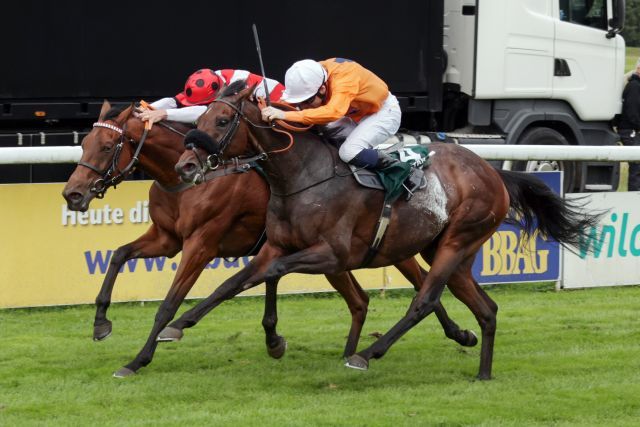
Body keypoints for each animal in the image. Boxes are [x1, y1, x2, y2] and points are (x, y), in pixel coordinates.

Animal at [62, 100, 478, 378]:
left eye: (106, 147)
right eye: (83, 144)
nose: (73, 195)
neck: (186, 180)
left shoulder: (202, 244)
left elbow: (169, 304)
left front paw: (138, 359)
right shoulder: (166, 238)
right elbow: (118, 255)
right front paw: (101, 323)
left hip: (388, 248)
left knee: (420, 281)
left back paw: (458, 333)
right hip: (341, 258)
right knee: (361, 300)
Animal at [169, 81, 600, 382]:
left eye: (222, 121)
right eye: (200, 119)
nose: (185, 166)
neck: (303, 176)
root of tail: (494, 173)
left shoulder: (333, 254)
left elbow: (270, 274)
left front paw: (274, 341)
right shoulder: (277, 244)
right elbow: (236, 282)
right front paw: (175, 326)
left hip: (458, 239)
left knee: (424, 300)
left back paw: (366, 355)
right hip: (449, 252)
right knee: (487, 309)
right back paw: (482, 371)